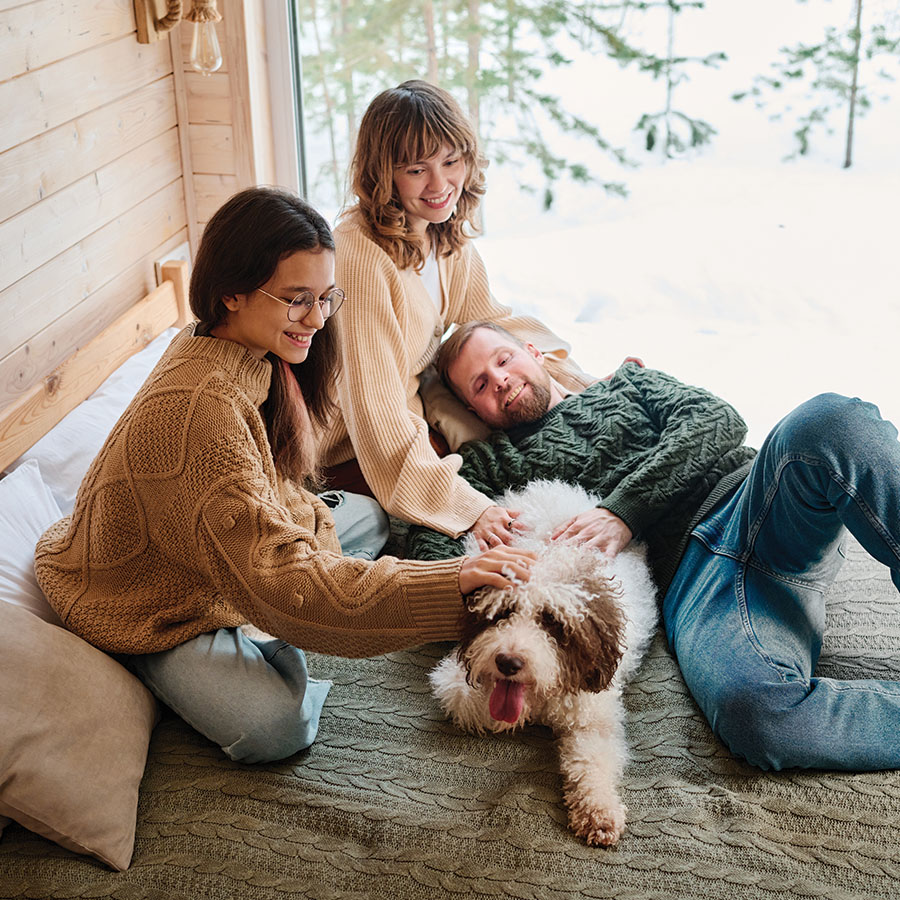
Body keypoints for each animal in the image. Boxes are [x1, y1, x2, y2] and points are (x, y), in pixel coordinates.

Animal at [428, 478, 652, 844]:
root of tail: (554, 490)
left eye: (551, 620)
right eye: (501, 613)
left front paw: (599, 813)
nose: (508, 662)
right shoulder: (457, 683)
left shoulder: (593, 715)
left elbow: (592, 760)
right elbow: (473, 704)